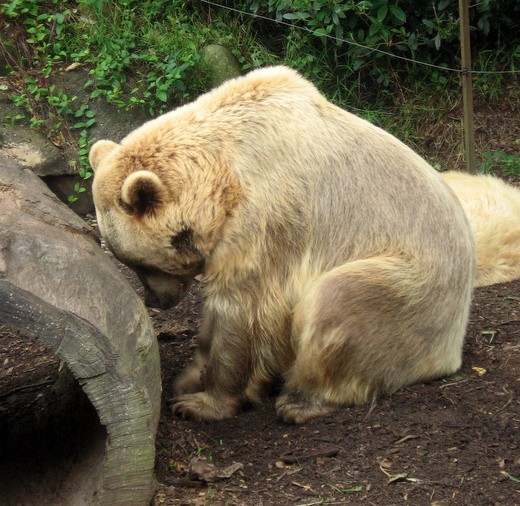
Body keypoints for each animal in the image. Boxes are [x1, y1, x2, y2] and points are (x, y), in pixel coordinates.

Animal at [89, 66, 476, 422]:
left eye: (141, 264)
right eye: (131, 262)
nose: (155, 300)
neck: (222, 178)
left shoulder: (264, 220)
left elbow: (244, 309)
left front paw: (203, 402)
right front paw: (188, 378)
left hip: (414, 289)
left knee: (338, 301)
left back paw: (301, 401)